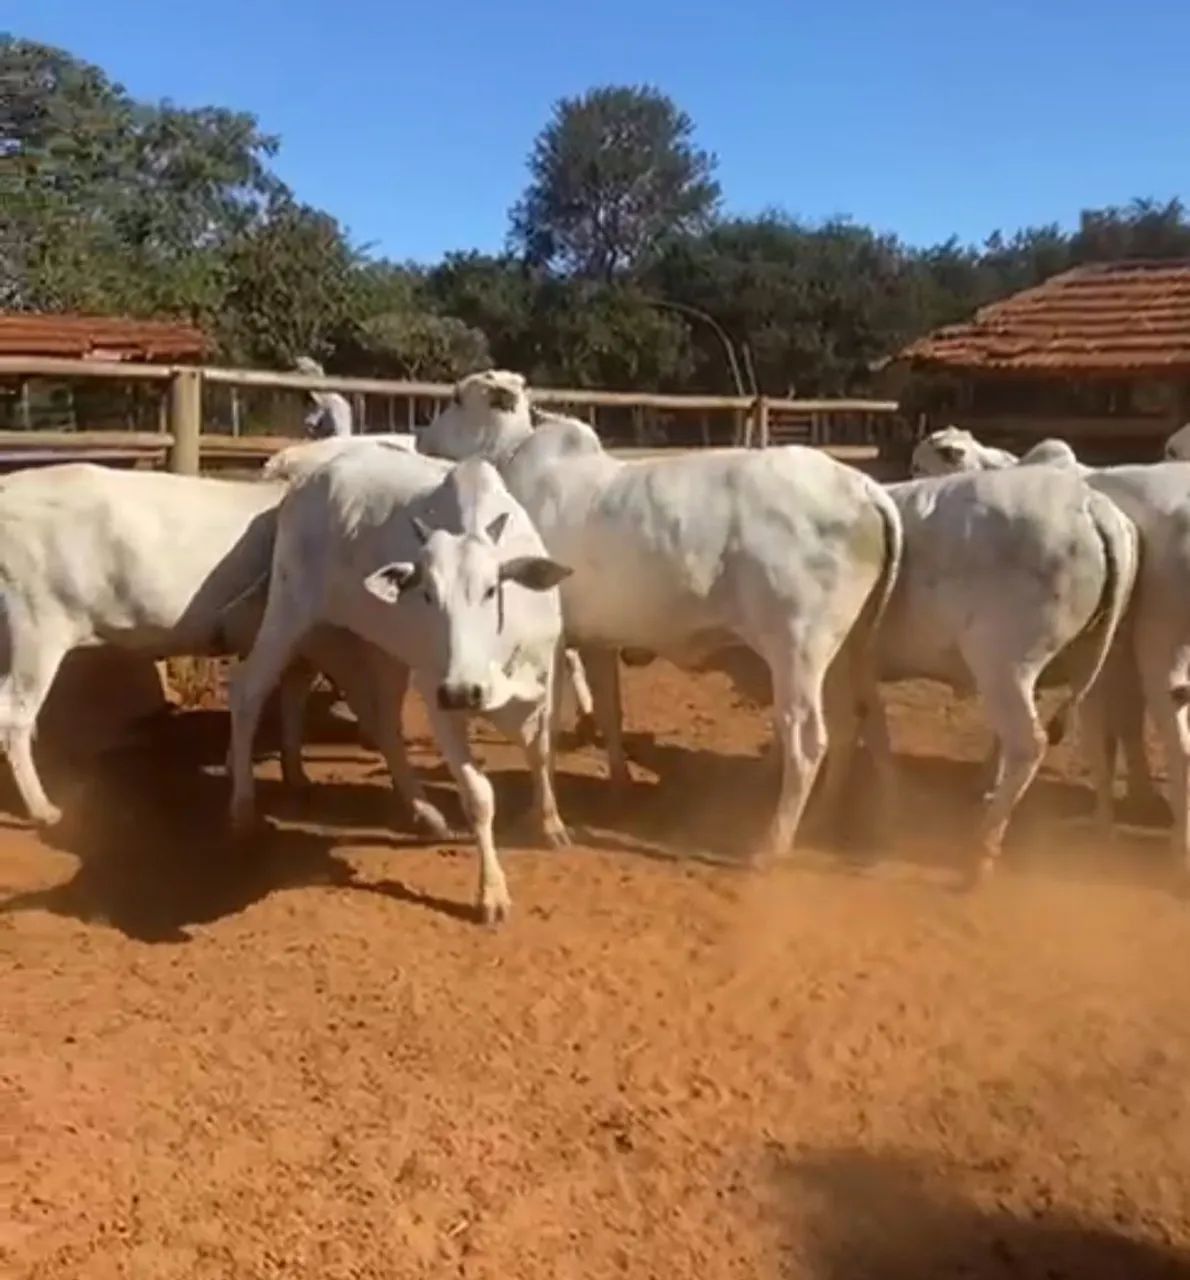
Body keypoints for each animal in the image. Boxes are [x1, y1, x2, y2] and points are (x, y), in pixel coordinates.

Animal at [227, 447, 572, 924]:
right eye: (425, 593)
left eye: (491, 590)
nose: (463, 691)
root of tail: (309, 478)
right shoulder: (437, 693)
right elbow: (478, 796)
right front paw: (492, 892)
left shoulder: (545, 675)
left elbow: (540, 754)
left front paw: (550, 824)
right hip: (290, 609)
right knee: (248, 691)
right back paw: (242, 808)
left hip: (372, 646)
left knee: (370, 717)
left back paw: (418, 809)